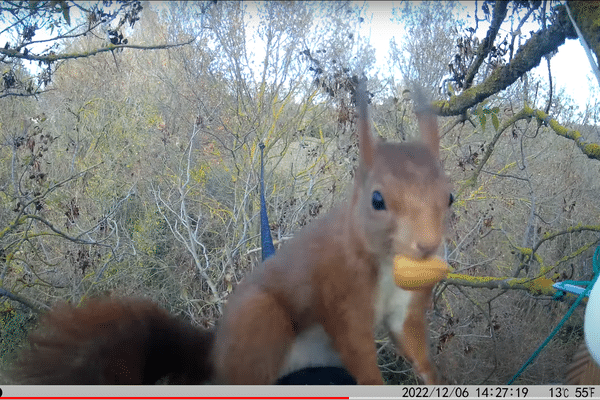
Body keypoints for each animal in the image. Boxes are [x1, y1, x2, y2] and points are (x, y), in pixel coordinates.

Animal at [12, 83, 450, 384]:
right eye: (377, 200)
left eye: (449, 196)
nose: (428, 246)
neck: (387, 266)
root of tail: (215, 353)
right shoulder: (341, 295)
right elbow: (358, 350)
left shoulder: (405, 307)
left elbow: (413, 344)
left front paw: (433, 379)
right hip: (262, 321)